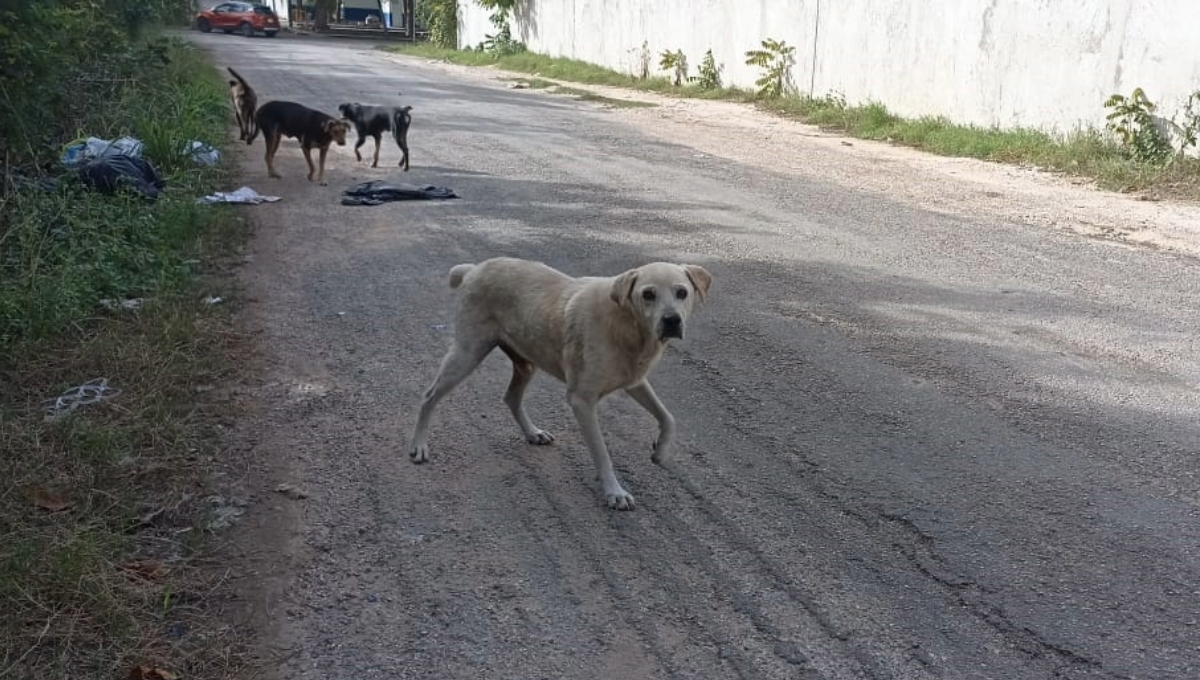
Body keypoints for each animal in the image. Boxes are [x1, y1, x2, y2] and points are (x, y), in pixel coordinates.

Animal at [412, 256, 710, 510]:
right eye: (648, 294)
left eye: (682, 293)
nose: (671, 320)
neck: (627, 324)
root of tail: (474, 268)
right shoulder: (582, 401)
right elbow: (602, 452)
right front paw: (614, 492)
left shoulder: (635, 381)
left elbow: (668, 417)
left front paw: (660, 451)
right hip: (467, 354)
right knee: (429, 396)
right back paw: (419, 445)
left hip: (526, 362)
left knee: (511, 397)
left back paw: (533, 433)